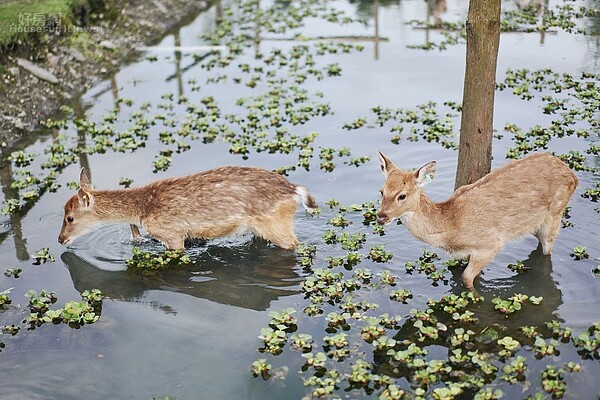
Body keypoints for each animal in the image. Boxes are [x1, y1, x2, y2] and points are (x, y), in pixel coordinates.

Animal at [58, 166, 316, 250]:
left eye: (70, 217)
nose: (60, 239)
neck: (142, 209)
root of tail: (295, 191)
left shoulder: (172, 234)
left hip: (276, 225)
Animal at [378, 152, 580, 290]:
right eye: (382, 191)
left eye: (402, 195)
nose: (381, 216)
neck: (451, 227)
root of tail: (573, 176)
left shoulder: (489, 245)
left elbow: (466, 278)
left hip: (555, 215)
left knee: (547, 251)